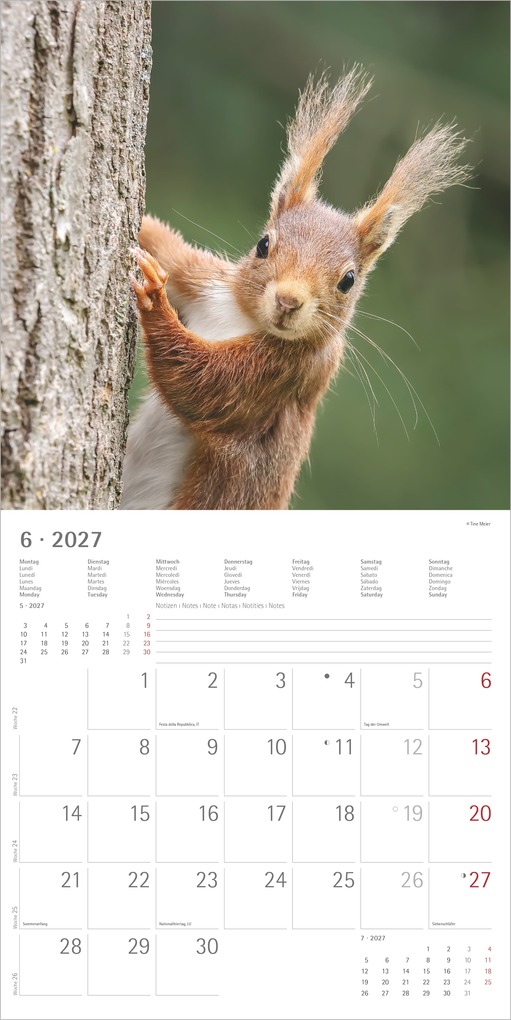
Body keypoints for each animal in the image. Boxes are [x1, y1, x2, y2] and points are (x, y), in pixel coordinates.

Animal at [121, 69, 470, 510]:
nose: (288, 300)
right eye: (263, 244)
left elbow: (201, 386)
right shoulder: (204, 280)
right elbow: (169, 248)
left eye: (348, 280)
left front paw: (154, 298)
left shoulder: (287, 373)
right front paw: (147, 232)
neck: (241, 316)